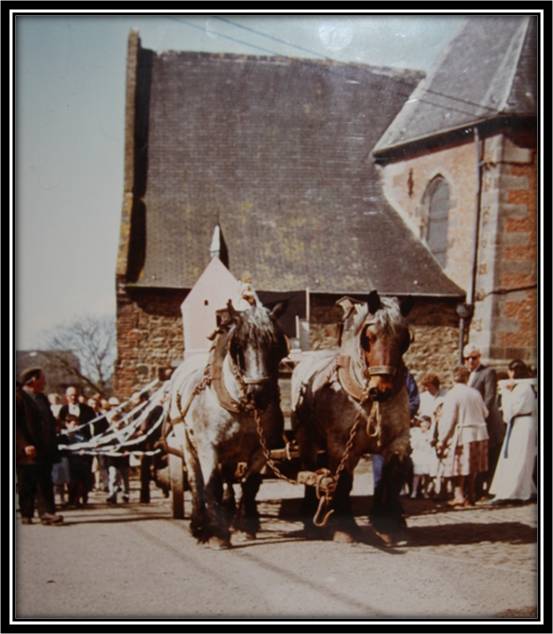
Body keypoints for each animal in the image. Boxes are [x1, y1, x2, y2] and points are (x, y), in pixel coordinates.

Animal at [168, 298, 288, 544]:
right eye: (238, 346)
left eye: (277, 345)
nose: (259, 394)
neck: (241, 406)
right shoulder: (208, 447)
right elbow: (210, 484)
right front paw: (217, 534)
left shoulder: (263, 449)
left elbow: (250, 483)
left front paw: (246, 526)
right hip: (185, 441)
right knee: (195, 480)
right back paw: (199, 523)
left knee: (229, 479)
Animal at [292, 288, 412, 540]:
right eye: (369, 337)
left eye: (405, 339)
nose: (381, 389)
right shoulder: (342, 446)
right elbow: (344, 481)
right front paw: (345, 528)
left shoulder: (398, 441)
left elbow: (390, 477)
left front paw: (388, 523)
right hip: (305, 436)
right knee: (309, 470)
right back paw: (309, 516)